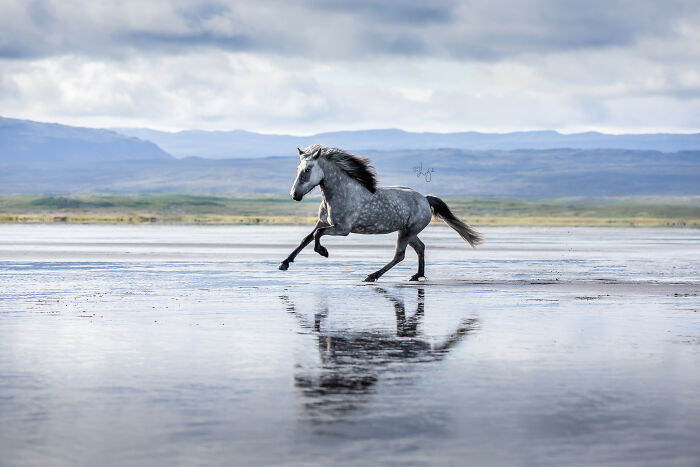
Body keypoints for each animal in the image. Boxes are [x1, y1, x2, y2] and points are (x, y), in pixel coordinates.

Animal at [278, 144, 482, 282]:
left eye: (307, 169)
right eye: (298, 169)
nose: (295, 195)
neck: (340, 193)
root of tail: (425, 199)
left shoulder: (342, 229)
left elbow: (317, 236)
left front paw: (323, 252)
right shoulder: (323, 222)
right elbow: (306, 238)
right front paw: (284, 263)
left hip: (407, 232)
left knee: (399, 255)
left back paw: (372, 275)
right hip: (407, 231)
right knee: (420, 248)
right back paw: (417, 275)